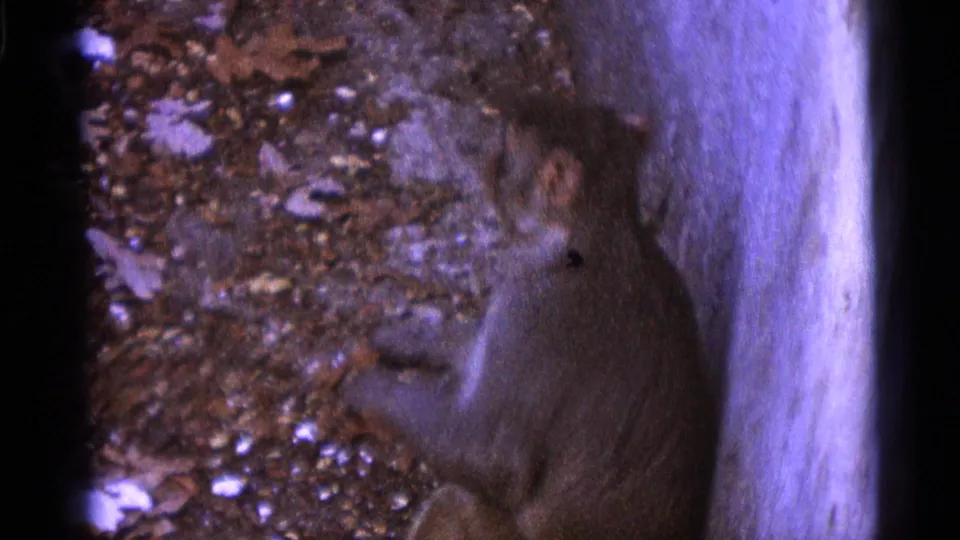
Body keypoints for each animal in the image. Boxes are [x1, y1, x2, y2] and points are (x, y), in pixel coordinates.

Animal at [342, 97, 719, 540]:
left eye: (506, 150)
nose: (484, 158)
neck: (594, 231)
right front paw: (415, 339)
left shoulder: (536, 308)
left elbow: (490, 456)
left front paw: (371, 390)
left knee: (460, 500)